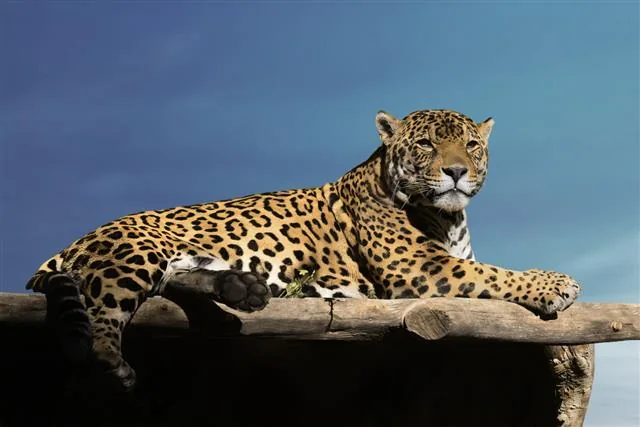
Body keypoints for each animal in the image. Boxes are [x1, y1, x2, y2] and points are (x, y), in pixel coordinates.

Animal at [26, 108, 581, 391]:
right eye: (425, 144)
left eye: (471, 145)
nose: (456, 171)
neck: (448, 216)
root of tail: (77, 239)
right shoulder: (417, 268)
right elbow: (495, 275)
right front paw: (555, 283)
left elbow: (487, 269)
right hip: (132, 255)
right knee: (102, 313)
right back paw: (111, 363)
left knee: (177, 282)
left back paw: (243, 289)